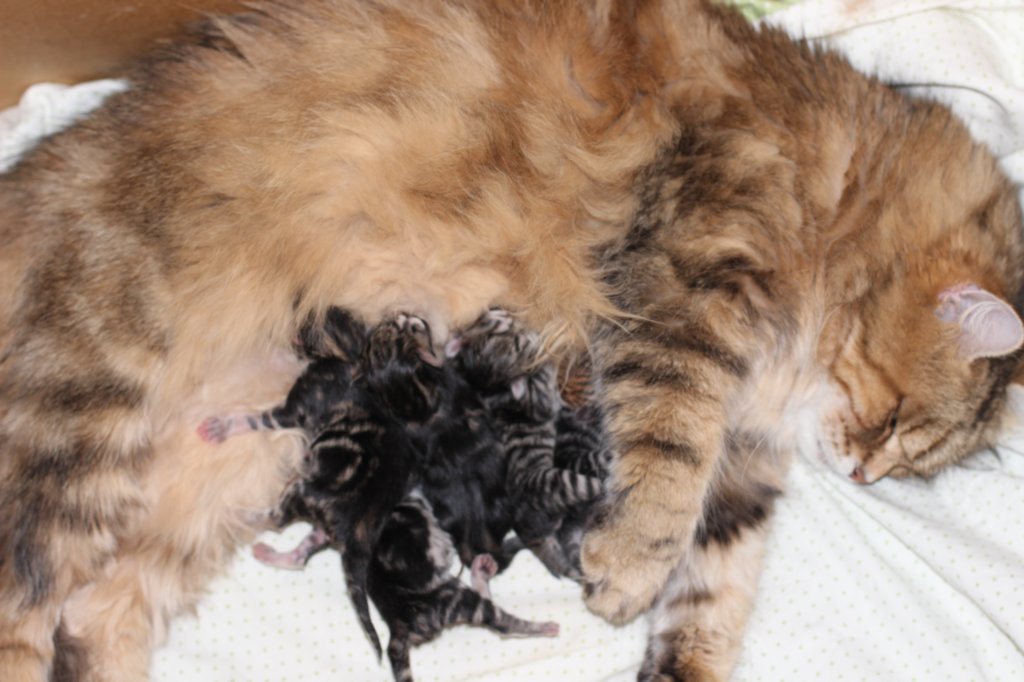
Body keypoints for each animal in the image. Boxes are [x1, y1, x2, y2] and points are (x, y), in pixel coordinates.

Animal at [1, 1, 1021, 680]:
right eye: (899, 424)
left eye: (906, 458)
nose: (864, 474)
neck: (836, 179)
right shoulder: (685, 286)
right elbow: (670, 458)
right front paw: (628, 565)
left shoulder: (747, 467)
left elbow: (712, 593)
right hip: (78, 423)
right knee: (27, 609)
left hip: (221, 484)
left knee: (97, 618)